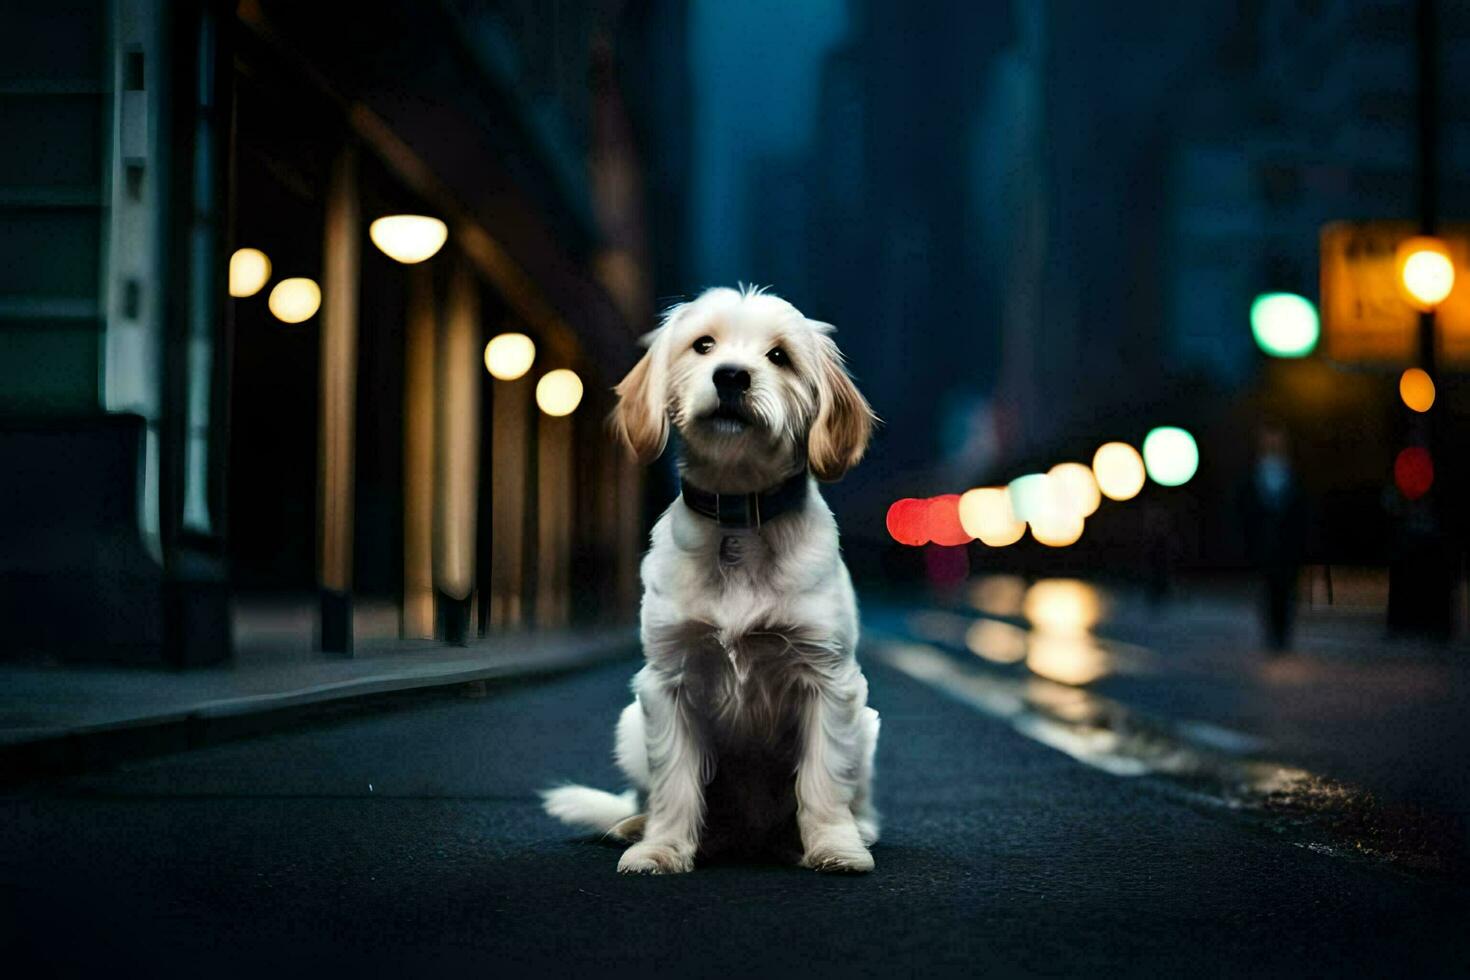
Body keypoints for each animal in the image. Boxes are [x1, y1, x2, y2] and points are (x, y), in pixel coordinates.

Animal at [543, 283, 876, 875]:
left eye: (779, 356)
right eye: (703, 345)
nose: (731, 376)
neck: (738, 518)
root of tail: (750, 834)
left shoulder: (831, 683)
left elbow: (823, 781)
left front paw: (835, 846)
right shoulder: (666, 682)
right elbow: (674, 784)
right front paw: (661, 848)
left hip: (868, 725)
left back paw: (845, 833)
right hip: (630, 724)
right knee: (650, 795)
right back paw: (635, 825)